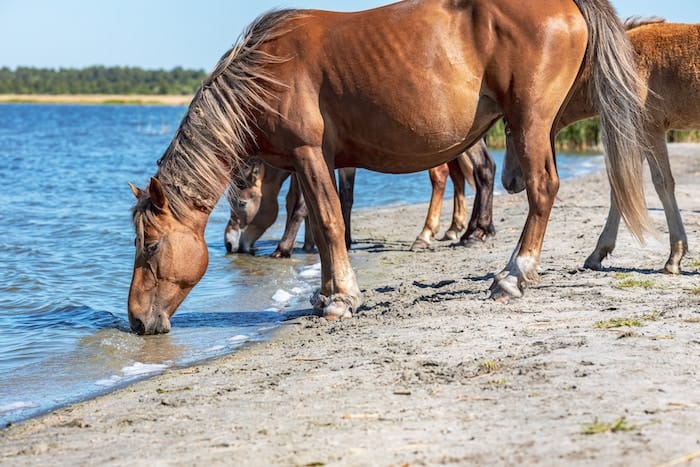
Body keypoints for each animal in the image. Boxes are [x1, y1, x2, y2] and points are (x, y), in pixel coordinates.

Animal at [127, 0, 652, 336]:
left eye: (149, 246)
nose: (134, 320)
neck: (267, 71)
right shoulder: (318, 162)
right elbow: (325, 225)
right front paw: (324, 295)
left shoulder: (308, 154)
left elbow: (328, 221)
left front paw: (341, 299)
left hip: (530, 122)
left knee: (542, 189)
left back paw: (512, 275)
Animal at [506, 18, 696, 274]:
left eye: (508, 129)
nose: (508, 182)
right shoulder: (633, 134)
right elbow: (621, 187)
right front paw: (598, 253)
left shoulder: (649, 129)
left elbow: (662, 183)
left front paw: (674, 257)